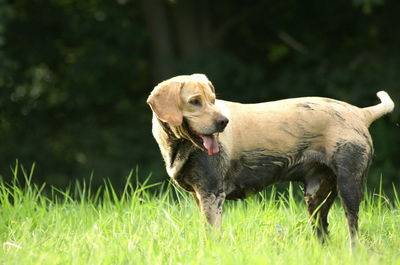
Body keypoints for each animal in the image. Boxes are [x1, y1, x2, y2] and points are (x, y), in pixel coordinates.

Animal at [146, 73, 394, 246]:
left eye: (213, 100)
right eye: (195, 101)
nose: (223, 122)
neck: (179, 145)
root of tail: (360, 112)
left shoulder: (212, 194)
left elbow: (212, 234)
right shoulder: (200, 196)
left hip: (349, 185)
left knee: (353, 230)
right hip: (317, 196)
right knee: (322, 230)